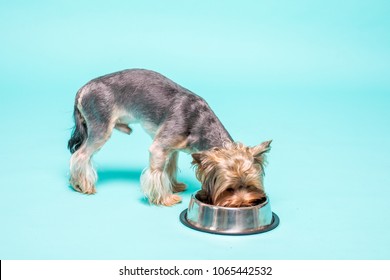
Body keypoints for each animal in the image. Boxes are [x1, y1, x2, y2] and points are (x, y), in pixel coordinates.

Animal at [67, 69, 272, 207]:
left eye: (251, 186)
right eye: (229, 188)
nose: (243, 204)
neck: (199, 122)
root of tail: (82, 89)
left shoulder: (173, 150)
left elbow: (169, 168)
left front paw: (173, 186)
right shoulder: (159, 148)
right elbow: (157, 172)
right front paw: (165, 198)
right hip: (101, 127)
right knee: (80, 155)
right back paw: (83, 184)